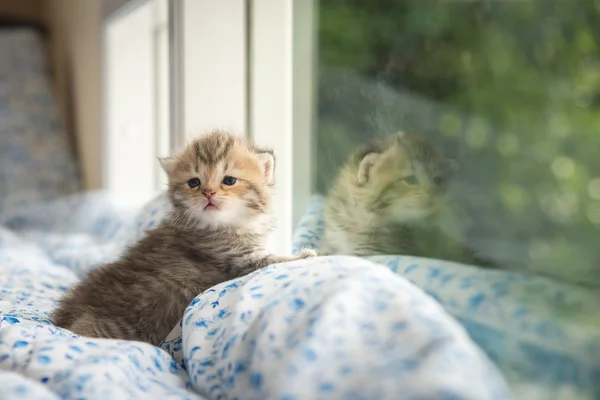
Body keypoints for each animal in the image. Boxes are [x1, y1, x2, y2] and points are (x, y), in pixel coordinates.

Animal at [50, 130, 318, 344]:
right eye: (194, 182)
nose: (208, 192)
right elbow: (271, 259)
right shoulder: (239, 259)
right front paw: (305, 255)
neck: (228, 225)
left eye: (229, 180)